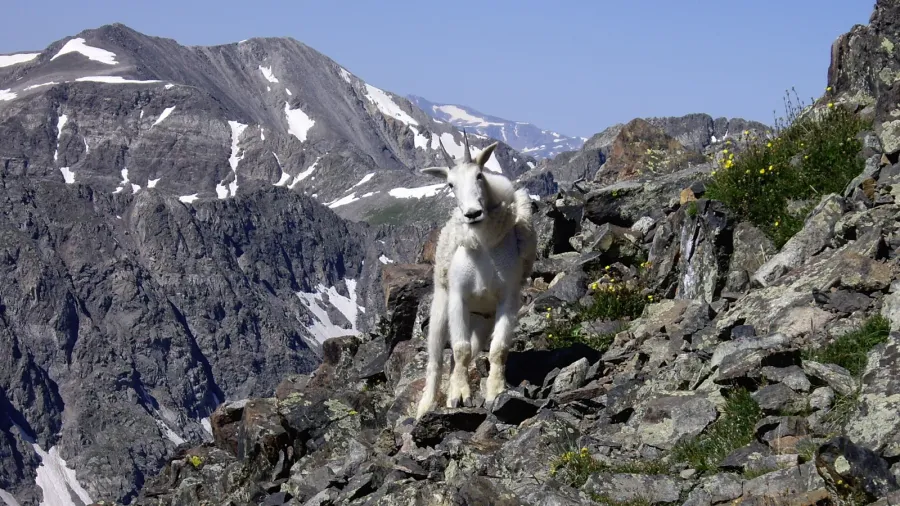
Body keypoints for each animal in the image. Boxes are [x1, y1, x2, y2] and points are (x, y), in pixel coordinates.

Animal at [416, 133, 536, 420]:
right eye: (450, 184)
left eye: (480, 175)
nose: (472, 214)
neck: (484, 245)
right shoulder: (458, 296)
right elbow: (459, 349)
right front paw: (459, 396)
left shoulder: (508, 298)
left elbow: (498, 349)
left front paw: (495, 391)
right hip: (441, 308)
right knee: (437, 359)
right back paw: (426, 406)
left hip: (481, 322)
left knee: (466, 352)